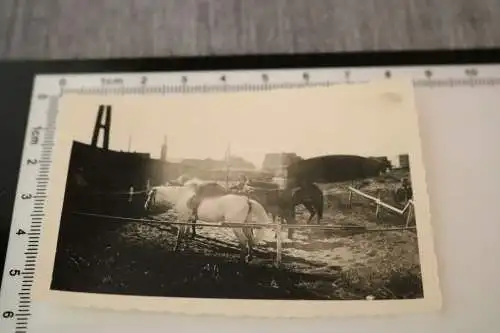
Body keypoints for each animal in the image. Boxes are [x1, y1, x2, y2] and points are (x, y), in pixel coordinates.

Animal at [143, 182, 272, 262]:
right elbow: (185, 234)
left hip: (236, 227)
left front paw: (176, 249)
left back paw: (240, 260)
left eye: (150, 195)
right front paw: (185, 247)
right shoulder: (189, 220)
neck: (182, 197)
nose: (145, 207)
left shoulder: (183, 219)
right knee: (250, 239)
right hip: (245, 226)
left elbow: (180, 235)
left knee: (244, 241)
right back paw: (249, 257)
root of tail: (247, 201)